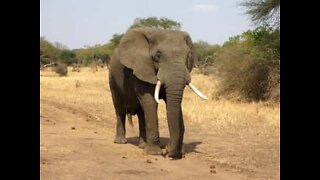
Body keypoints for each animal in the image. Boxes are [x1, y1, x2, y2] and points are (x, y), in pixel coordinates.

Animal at [108, 27, 208, 159]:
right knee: (119, 108)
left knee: (141, 113)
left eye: (187, 56)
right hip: (112, 78)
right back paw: (121, 142)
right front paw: (154, 153)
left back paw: (142, 146)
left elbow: (172, 103)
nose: (169, 151)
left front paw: (176, 152)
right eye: (158, 55)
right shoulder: (141, 67)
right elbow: (150, 101)